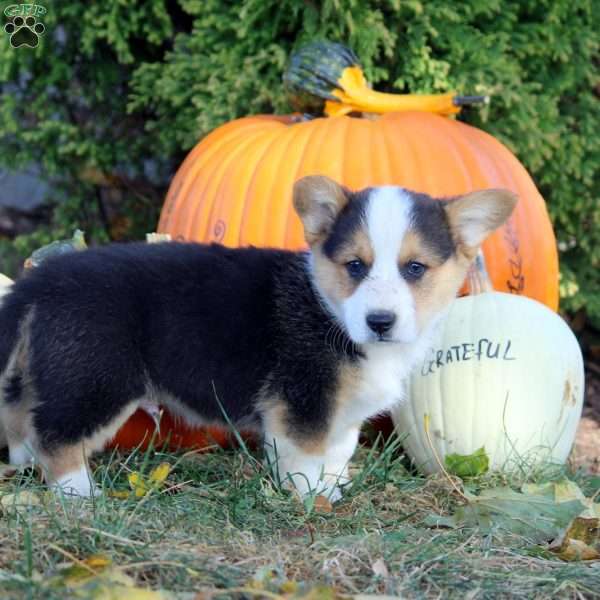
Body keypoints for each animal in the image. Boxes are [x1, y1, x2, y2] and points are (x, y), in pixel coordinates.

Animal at [0, 176, 516, 500]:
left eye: (415, 269)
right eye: (355, 266)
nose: (380, 321)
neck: (331, 311)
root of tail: (39, 282)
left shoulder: (338, 416)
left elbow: (337, 452)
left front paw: (334, 489)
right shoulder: (303, 405)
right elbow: (307, 459)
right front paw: (310, 500)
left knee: (21, 417)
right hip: (98, 380)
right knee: (56, 437)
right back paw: (79, 496)